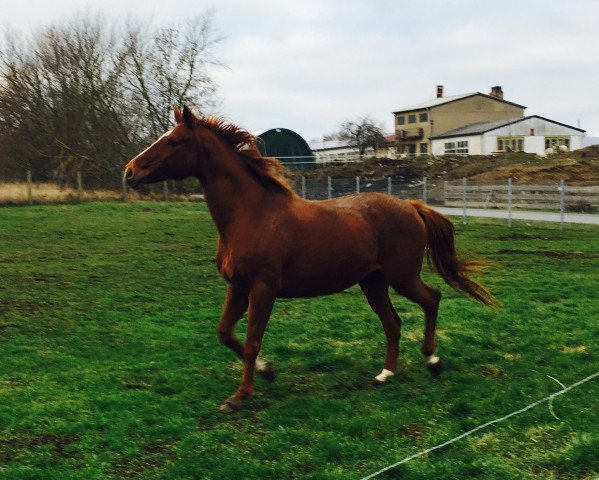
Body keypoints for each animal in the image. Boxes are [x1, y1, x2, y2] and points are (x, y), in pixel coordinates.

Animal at [124, 107, 494, 410]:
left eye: (174, 141)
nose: (129, 172)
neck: (251, 214)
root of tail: (412, 206)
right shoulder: (238, 287)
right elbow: (225, 333)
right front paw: (268, 372)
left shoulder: (263, 289)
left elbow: (251, 341)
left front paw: (241, 396)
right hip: (373, 283)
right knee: (393, 322)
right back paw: (385, 374)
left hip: (401, 277)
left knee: (432, 299)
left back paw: (432, 360)